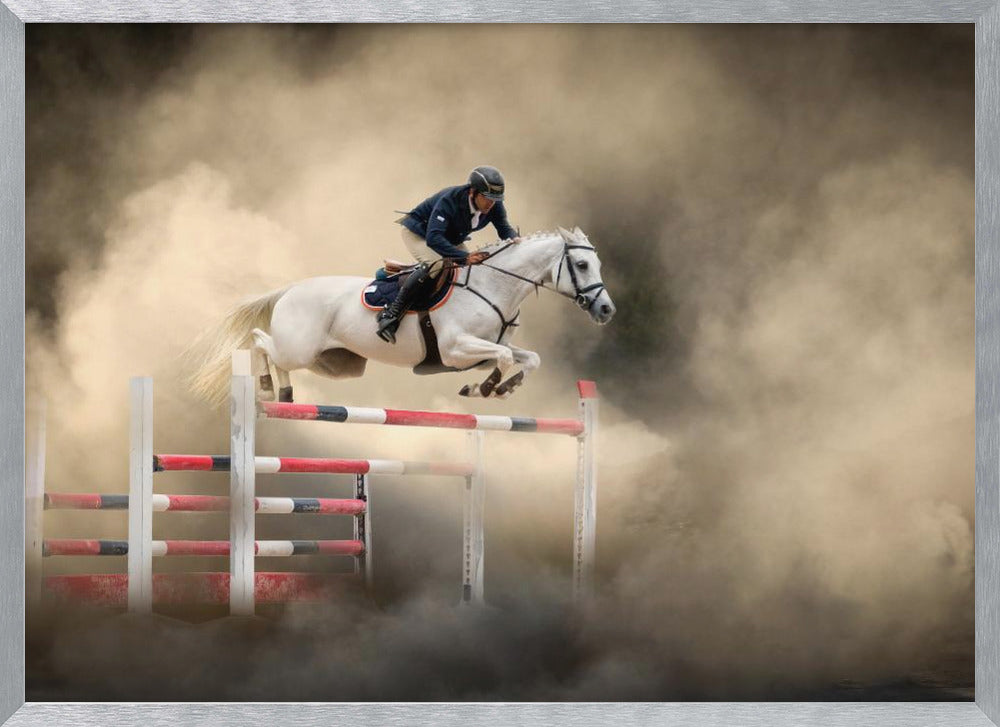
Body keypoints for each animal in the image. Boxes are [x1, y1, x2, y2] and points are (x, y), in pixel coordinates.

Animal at [187, 226, 616, 405]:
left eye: (595, 263)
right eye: (581, 264)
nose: (606, 309)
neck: (495, 285)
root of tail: (291, 289)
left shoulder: (475, 355)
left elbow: (527, 358)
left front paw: (500, 387)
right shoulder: (456, 350)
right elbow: (506, 357)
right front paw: (486, 388)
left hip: (333, 364)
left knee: (277, 356)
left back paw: (286, 395)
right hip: (299, 347)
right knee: (261, 342)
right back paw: (264, 388)